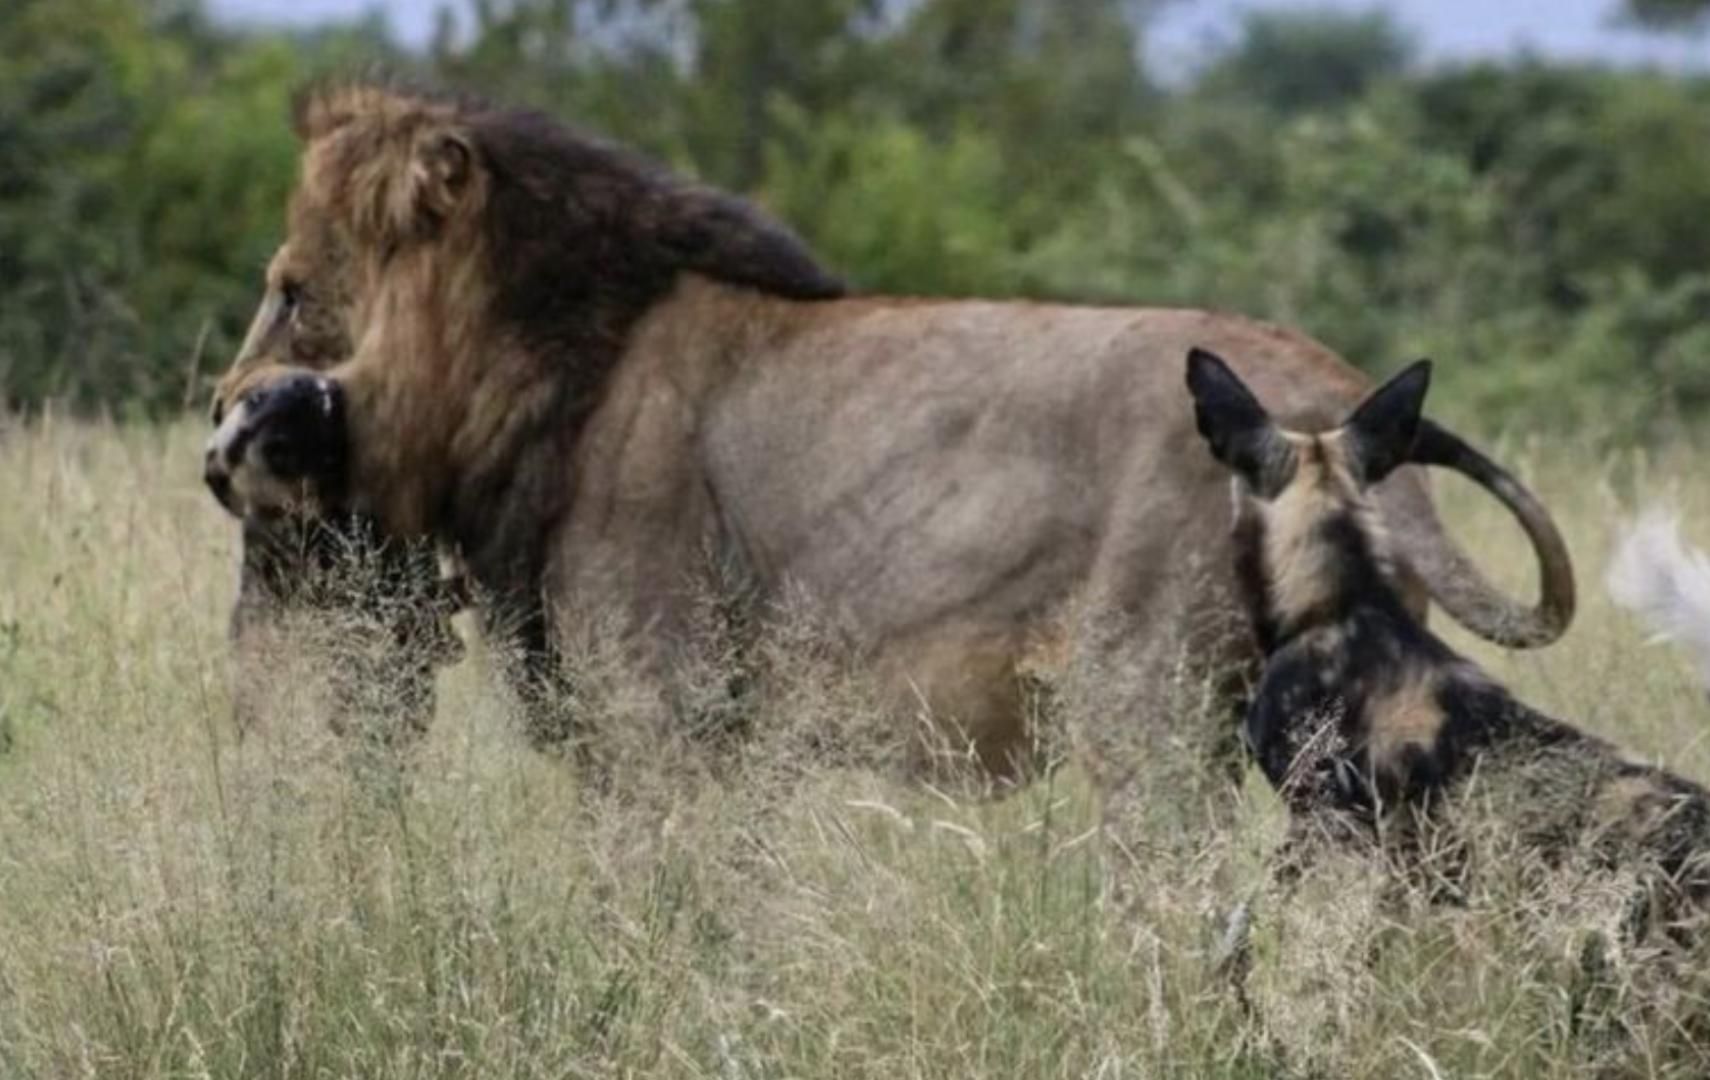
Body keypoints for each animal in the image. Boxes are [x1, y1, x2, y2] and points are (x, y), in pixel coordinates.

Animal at [203, 82, 1573, 792]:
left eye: (290, 290)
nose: (222, 430)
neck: (542, 368)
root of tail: (1342, 393)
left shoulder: (662, 715)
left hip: (1142, 716)